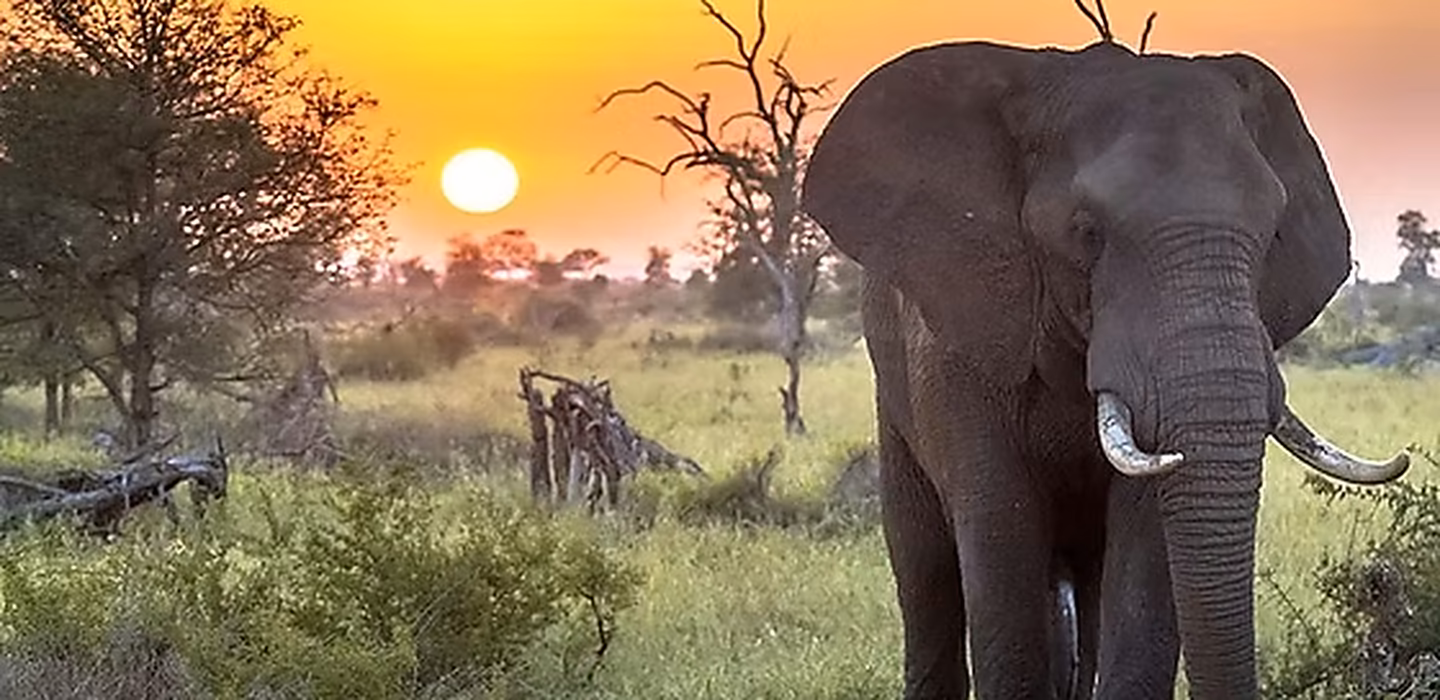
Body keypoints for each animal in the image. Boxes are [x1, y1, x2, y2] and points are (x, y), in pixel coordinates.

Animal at [800, 38, 1411, 699]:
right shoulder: (960, 342)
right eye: (1086, 232)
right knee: (925, 572)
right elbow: (1000, 531)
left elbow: (1144, 550)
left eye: (1273, 232)